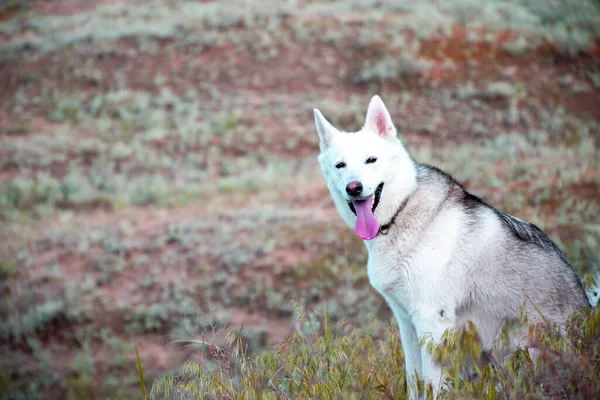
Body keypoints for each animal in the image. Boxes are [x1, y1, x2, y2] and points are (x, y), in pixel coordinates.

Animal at [314, 95, 596, 398]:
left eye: (371, 160)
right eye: (340, 165)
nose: (353, 188)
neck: (401, 214)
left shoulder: (431, 320)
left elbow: (432, 384)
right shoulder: (407, 322)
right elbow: (415, 380)